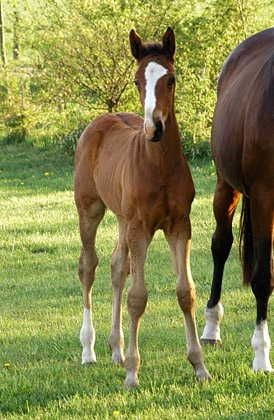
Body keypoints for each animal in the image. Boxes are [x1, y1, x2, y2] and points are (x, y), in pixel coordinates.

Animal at [73, 27, 210, 388]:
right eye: (137, 81)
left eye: (171, 79)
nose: (154, 128)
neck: (158, 166)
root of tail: (100, 120)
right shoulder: (141, 228)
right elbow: (137, 297)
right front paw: (133, 373)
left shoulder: (179, 225)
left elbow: (185, 292)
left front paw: (199, 366)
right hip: (90, 211)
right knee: (88, 266)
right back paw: (89, 349)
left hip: (122, 219)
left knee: (117, 267)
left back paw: (116, 350)